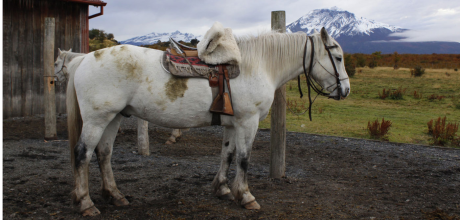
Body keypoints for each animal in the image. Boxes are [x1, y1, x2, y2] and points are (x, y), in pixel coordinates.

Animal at [60, 27, 348, 217]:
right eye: (338, 57)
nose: (345, 90)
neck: (258, 66)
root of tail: (84, 58)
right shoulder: (248, 122)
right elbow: (244, 158)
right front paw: (245, 196)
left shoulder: (232, 124)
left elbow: (227, 155)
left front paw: (222, 188)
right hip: (97, 119)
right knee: (83, 154)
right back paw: (86, 203)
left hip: (114, 117)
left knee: (104, 154)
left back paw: (115, 195)